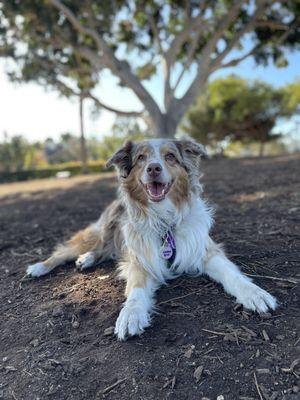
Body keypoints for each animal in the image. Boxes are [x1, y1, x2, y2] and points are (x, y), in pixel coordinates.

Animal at [27, 138, 278, 340]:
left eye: (170, 157)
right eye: (140, 158)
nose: (154, 168)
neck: (165, 221)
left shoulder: (203, 249)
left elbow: (231, 274)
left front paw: (254, 293)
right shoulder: (139, 258)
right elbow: (137, 289)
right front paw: (131, 314)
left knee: (101, 250)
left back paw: (85, 259)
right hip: (99, 231)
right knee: (66, 251)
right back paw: (40, 267)